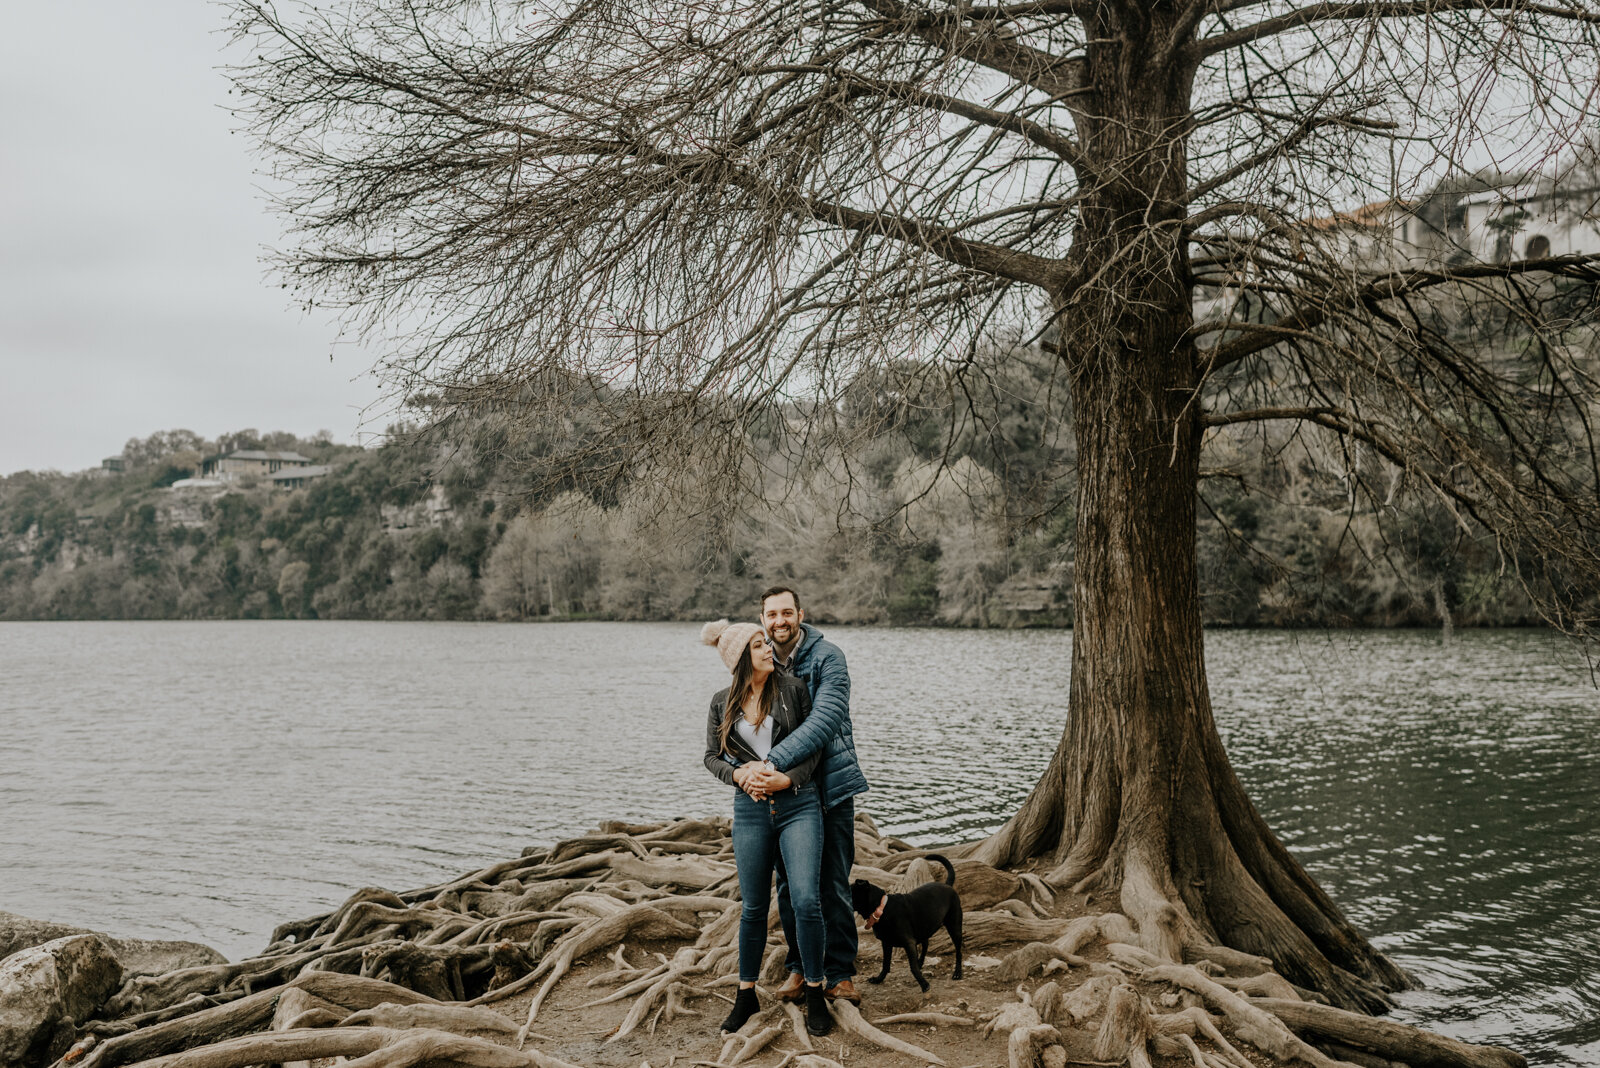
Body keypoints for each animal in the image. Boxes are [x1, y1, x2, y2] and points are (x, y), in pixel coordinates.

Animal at [851, 850, 960, 991]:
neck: (882, 908)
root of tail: (947, 885)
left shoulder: (909, 943)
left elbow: (912, 967)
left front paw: (923, 984)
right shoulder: (886, 944)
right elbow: (885, 965)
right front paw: (879, 979)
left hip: (954, 927)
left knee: (958, 951)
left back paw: (957, 973)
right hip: (923, 928)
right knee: (926, 944)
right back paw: (921, 962)